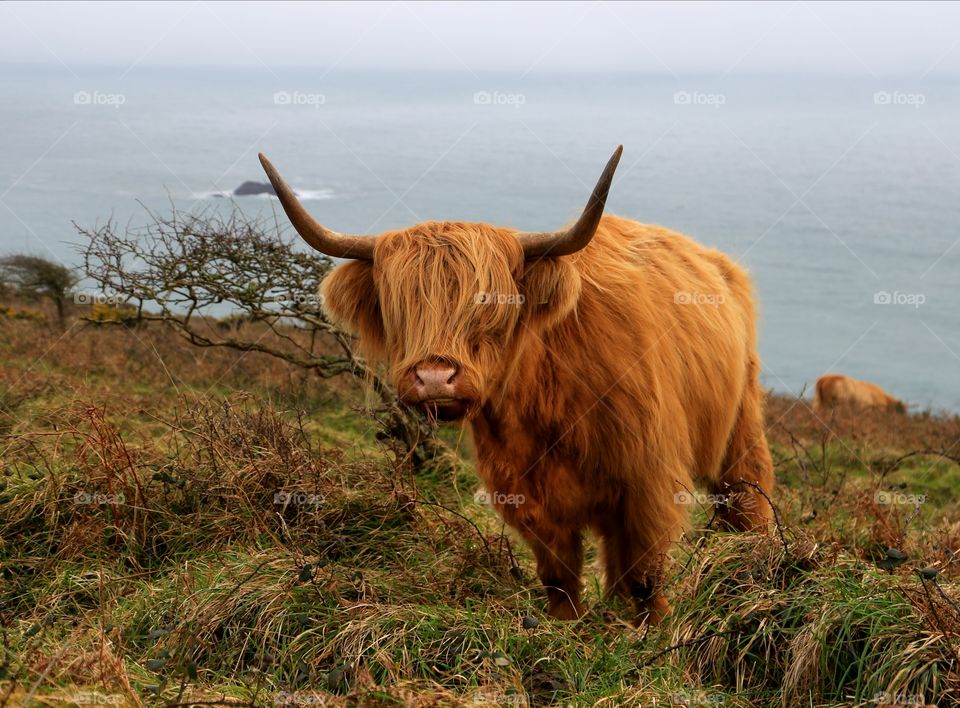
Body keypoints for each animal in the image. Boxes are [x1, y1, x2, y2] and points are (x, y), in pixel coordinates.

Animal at [258, 147, 776, 624]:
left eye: (492, 305)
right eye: (398, 304)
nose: (434, 378)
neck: (545, 398)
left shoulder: (648, 478)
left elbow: (647, 575)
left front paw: (658, 634)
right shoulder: (521, 491)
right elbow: (560, 576)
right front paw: (569, 630)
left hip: (741, 426)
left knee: (745, 497)